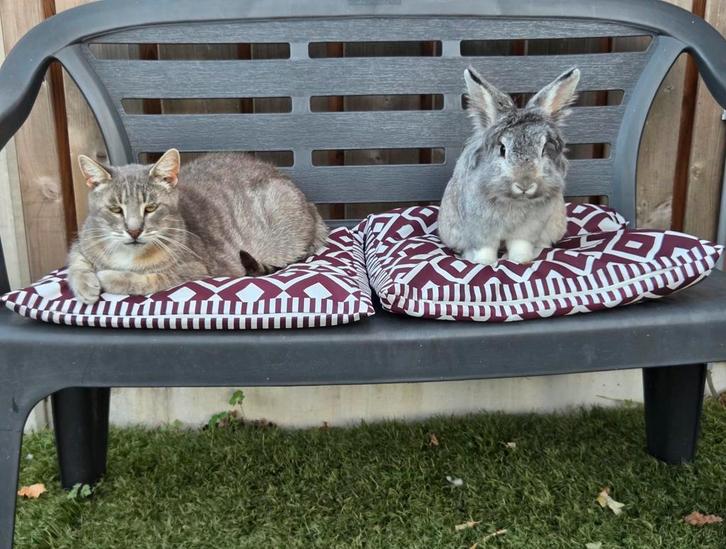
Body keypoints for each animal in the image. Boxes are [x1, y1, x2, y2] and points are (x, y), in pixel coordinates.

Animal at [438, 66, 580, 265]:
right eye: (502, 149)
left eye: (543, 149)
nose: (525, 185)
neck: (514, 201)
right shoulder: (481, 230)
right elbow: (485, 249)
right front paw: (484, 263)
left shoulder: (526, 230)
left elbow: (520, 246)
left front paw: (521, 260)